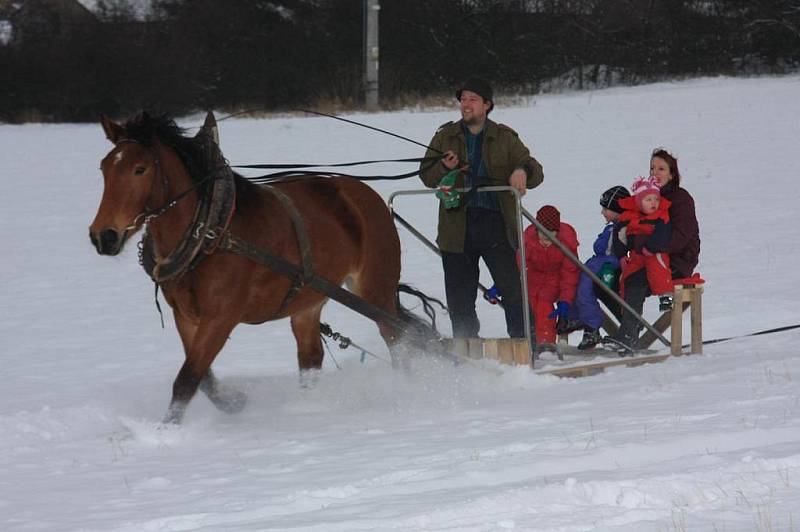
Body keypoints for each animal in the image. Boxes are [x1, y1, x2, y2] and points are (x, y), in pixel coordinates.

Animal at [88, 113, 438, 424]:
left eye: (140, 169)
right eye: (104, 167)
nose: (103, 235)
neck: (209, 232)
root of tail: (365, 195)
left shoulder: (221, 318)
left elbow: (187, 379)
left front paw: (166, 431)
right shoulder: (186, 316)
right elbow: (204, 379)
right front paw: (235, 402)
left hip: (375, 289)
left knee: (397, 340)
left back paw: (406, 390)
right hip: (308, 300)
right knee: (311, 358)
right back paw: (308, 406)